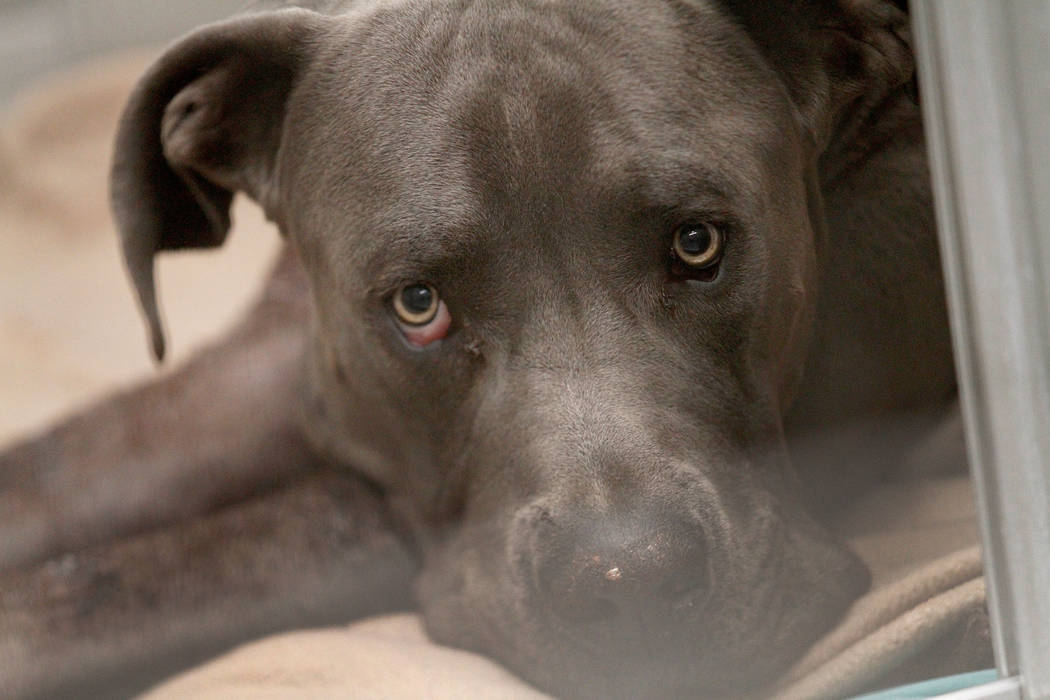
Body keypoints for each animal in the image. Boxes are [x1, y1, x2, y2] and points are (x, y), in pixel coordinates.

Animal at [0, 0, 961, 696]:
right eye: (418, 304)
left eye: (697, 243)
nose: (631, 578)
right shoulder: (269, 367)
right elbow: (63, 484)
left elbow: (191, 561)